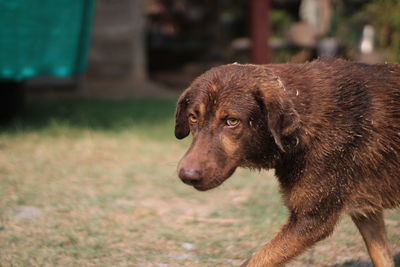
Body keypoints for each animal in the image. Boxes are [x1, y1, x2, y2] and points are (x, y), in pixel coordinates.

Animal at [175, 59, 400, 267]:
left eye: (232, 121)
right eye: (193, 117)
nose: (186, 175)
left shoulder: (311, 221)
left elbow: (254, 261)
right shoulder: (367, 213)